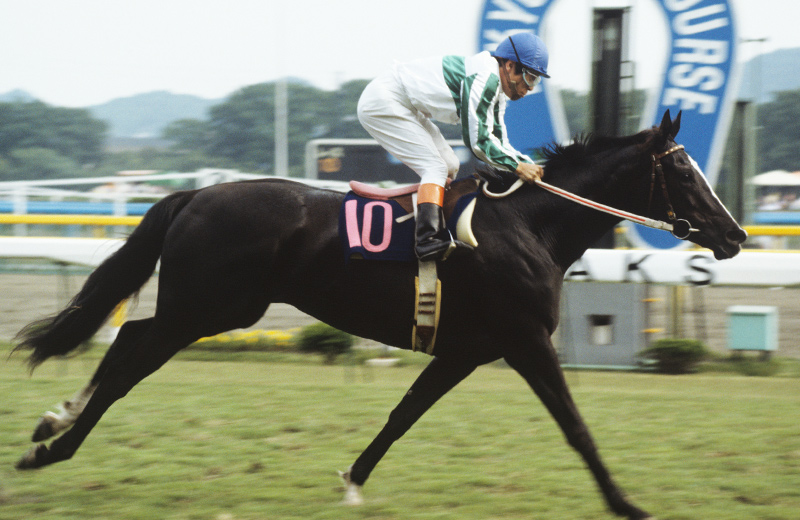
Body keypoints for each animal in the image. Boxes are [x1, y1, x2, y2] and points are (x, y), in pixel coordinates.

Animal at [13, 110, 746, 519]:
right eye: (685, 172)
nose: (735, 235)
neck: (529, 226)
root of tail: (194, 194)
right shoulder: (525, 340)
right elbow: (576, 428)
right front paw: (627, 504)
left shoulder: (465, 349)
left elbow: (402, 415)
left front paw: (352, 480)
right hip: (208, 306)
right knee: (130, 356)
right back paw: (52, 447)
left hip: (212, 306)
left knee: (126, 340)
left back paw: (55, 422)